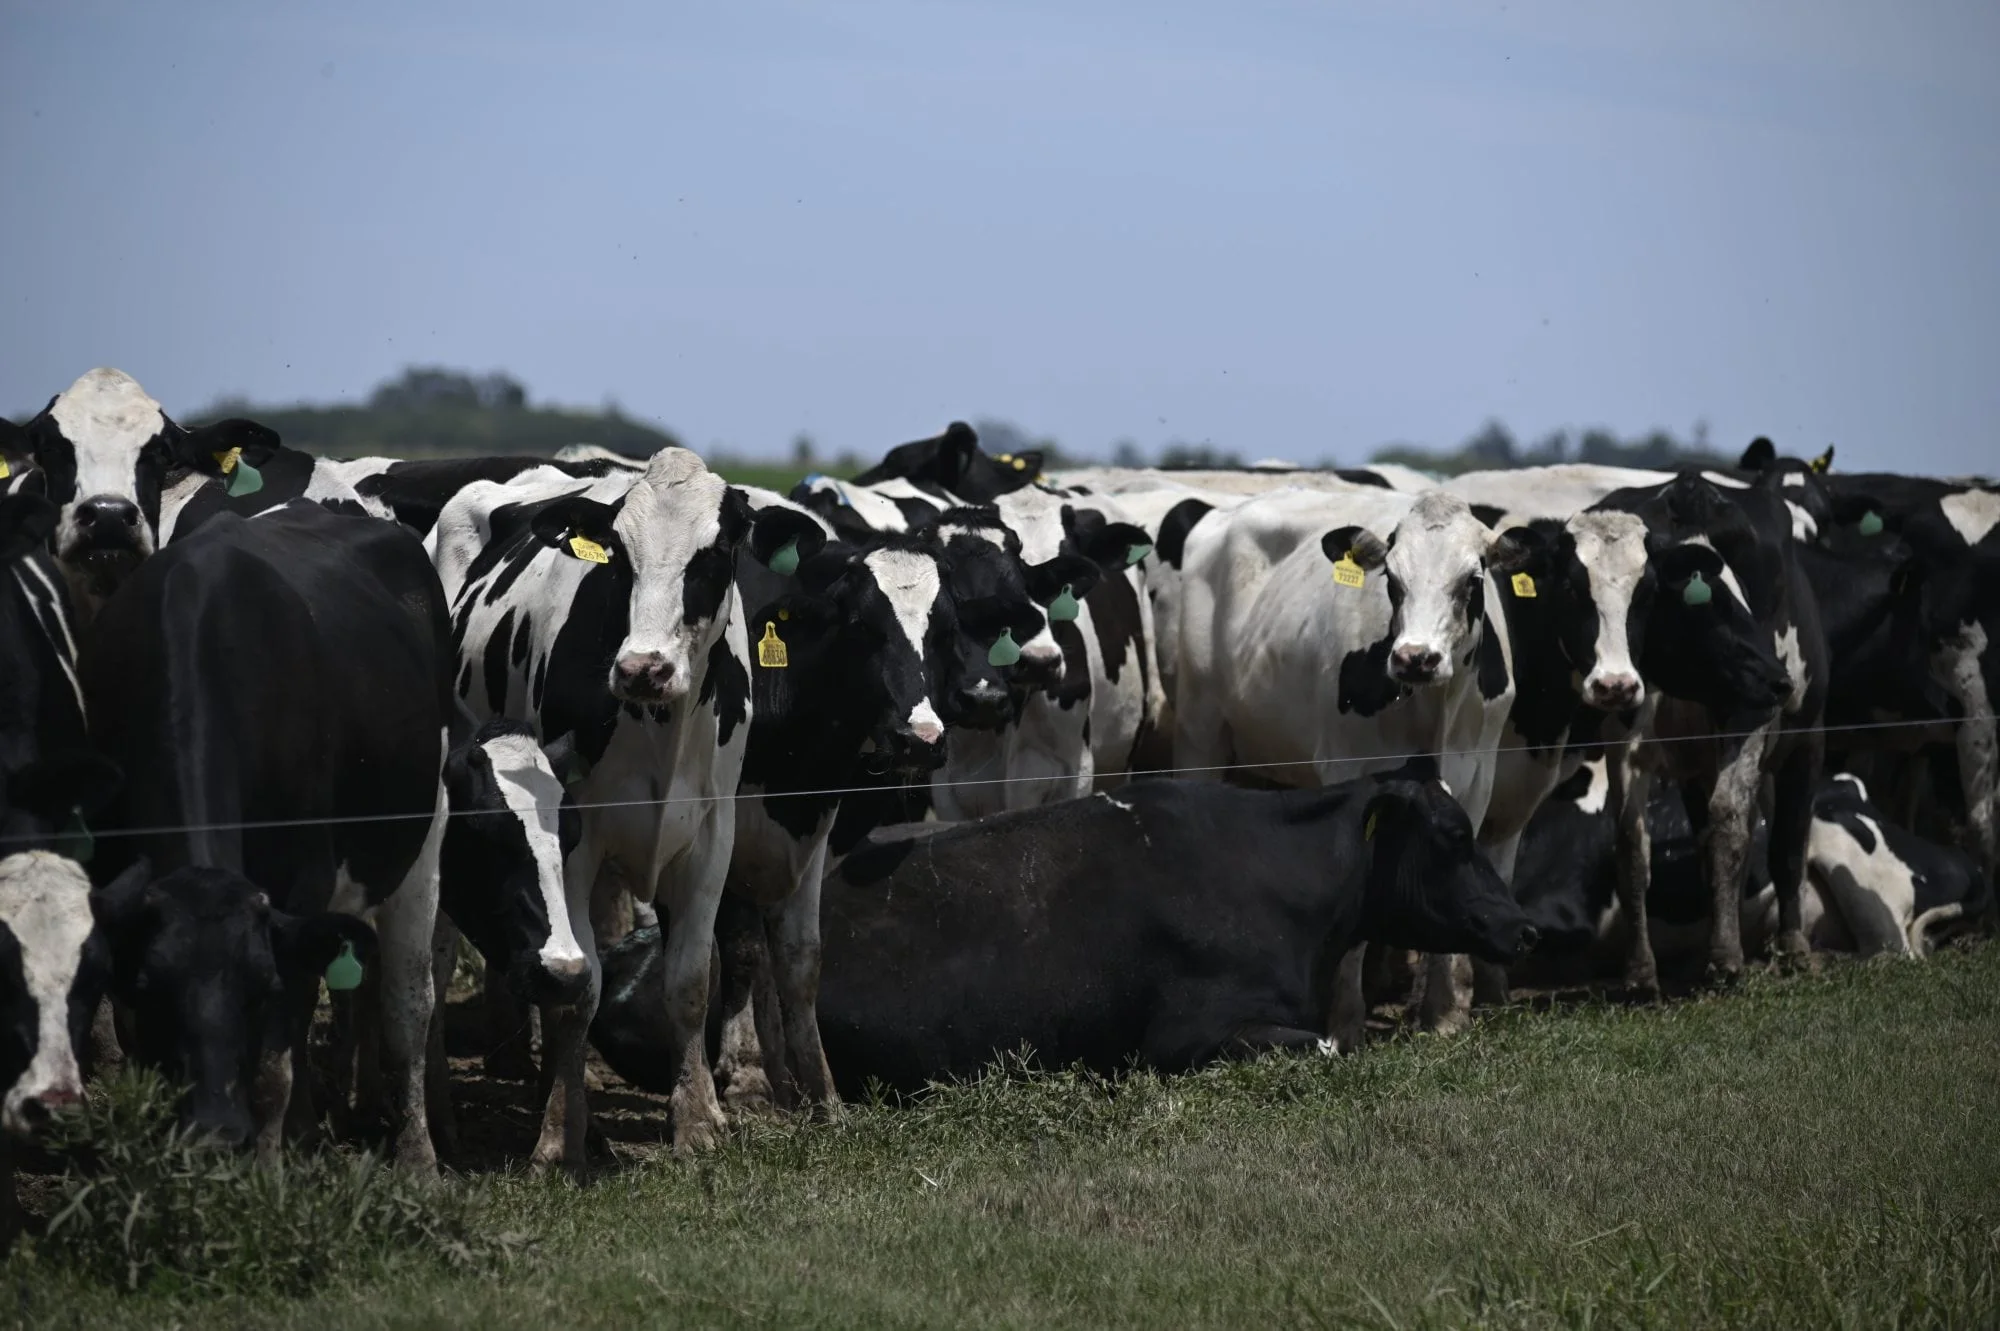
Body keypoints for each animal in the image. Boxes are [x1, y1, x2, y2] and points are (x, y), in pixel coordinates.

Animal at [79, 503, 452, 1167]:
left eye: (257, 988)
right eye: (153, 986)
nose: (216, 1131)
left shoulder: (302, 885)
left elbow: (271, 1070)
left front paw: (267, 1173)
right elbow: (141, 1049)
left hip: (422, 835)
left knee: (408, 1007)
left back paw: (417, 1161)